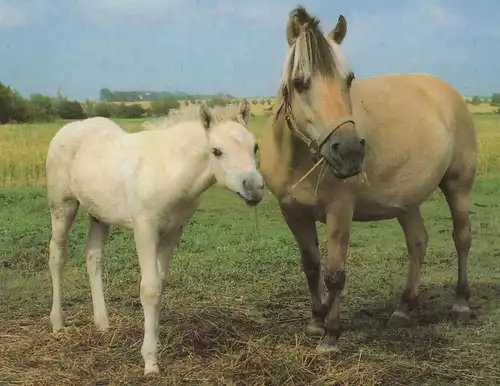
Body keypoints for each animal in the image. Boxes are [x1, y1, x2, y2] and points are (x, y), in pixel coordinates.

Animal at [46, 99, 266, 374]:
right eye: (216, 151)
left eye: (254, 146)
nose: (255, 189)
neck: (169, 169)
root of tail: (67, 129)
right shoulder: (145, 229)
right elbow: (149, 288)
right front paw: (150, 360)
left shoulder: (173, 230)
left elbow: (161, 283)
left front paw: (156, 339)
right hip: (62, 205)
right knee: (57, 255)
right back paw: (57, 323)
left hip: (99, 214)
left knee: (93, 256)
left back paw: (103, 322)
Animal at [260, 6, 478, 354]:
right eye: (298, 82)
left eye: (348, 79)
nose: (349, 151)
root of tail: (448, 93)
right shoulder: (292, 212)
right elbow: (311, 265)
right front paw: (316, 321)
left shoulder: (340, 211)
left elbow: (335, 273)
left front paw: (331, 335)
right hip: (407, 201)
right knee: (418, 243)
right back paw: (403, 309)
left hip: (458, 184)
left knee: (462, 238)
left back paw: (460, 304)